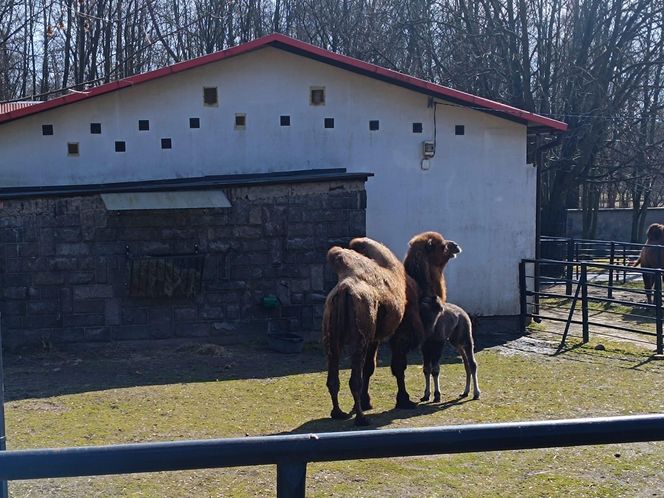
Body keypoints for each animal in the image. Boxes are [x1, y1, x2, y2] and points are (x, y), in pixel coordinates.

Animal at [322, 236, 422, 424]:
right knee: (355, 379)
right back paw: (361, 419)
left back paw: (338, 413)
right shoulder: (398, 332)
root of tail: (344, 289)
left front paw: (366, 401)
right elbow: (397, 365)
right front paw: (404, 400)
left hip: (331, 334)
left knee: (333, 377)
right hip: (359, 338)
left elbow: (370, 367)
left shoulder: (374, 337)